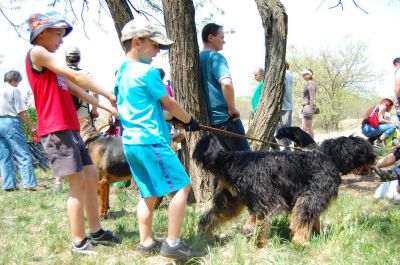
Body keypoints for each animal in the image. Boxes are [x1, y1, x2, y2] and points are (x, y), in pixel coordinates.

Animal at [194, 134, 376, 245]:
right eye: (366, 151)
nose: (375, 159)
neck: (328, 156)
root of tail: (229, 158)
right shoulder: (310, 197)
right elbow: (303, 220)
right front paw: (301, 242)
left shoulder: (310, 199)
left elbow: (313, 220)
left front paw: (317, 235)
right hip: (268, 199)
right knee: (252, 225)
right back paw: (261, 243)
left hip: (230, 202)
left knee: (209, 217)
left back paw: (206, 236)